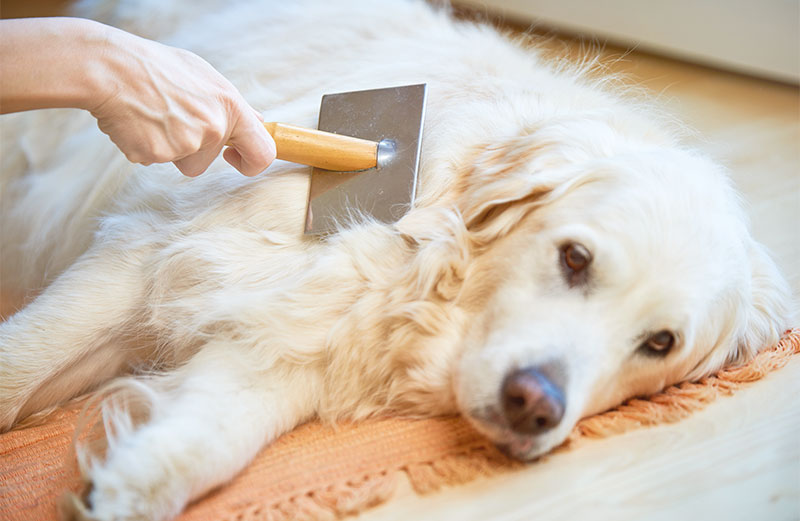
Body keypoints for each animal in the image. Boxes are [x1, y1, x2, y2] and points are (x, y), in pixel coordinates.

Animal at [0, 1, 792, 520]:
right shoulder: (149, 255)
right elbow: (21, 362)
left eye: (659, 343)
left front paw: (125, 482)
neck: (419, 261)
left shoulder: (295, 340)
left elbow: (216, 434)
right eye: (574, 258)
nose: (534, 404)